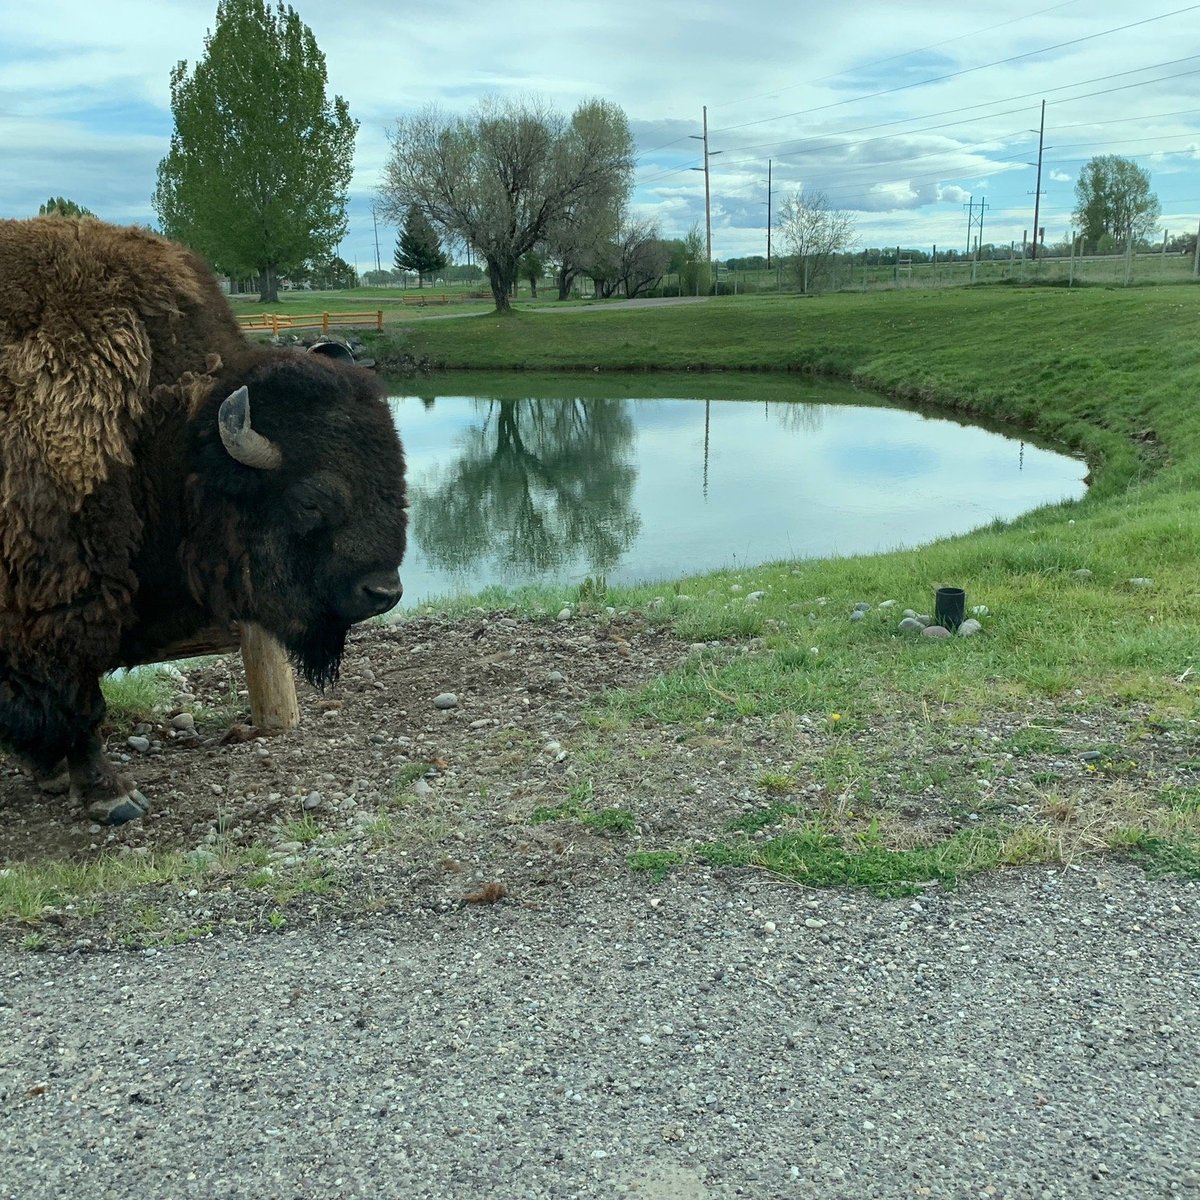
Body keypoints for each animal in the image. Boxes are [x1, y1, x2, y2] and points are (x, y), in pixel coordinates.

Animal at [1, 218, 408, 825]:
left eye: (395, 481)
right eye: (310, 501)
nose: (383, 592)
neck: (159, 437)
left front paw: (49, 774)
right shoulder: (60, 610)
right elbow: (82, 703)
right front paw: (112, 796)